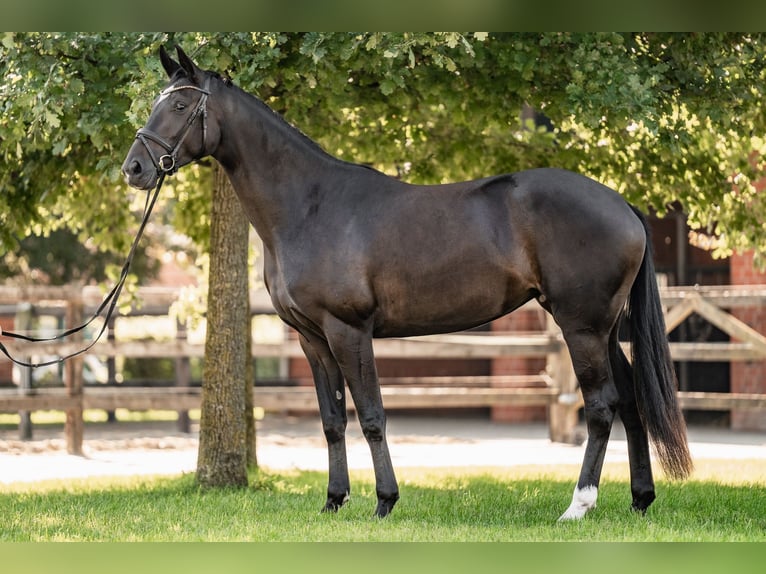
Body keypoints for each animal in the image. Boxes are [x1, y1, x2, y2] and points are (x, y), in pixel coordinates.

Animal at [123, 46, 692, 520]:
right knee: (631, 401)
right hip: (604, 328)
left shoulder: (349, 331)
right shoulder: (311, 339)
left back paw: (578, 506)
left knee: (601, 406)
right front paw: (334, 501)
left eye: (179, 106)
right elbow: (332, 420)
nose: (134, 169)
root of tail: (621, 203)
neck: (310, 205)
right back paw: (640, 500)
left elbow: (372, 415)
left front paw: (384, 501)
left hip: (582, 327)